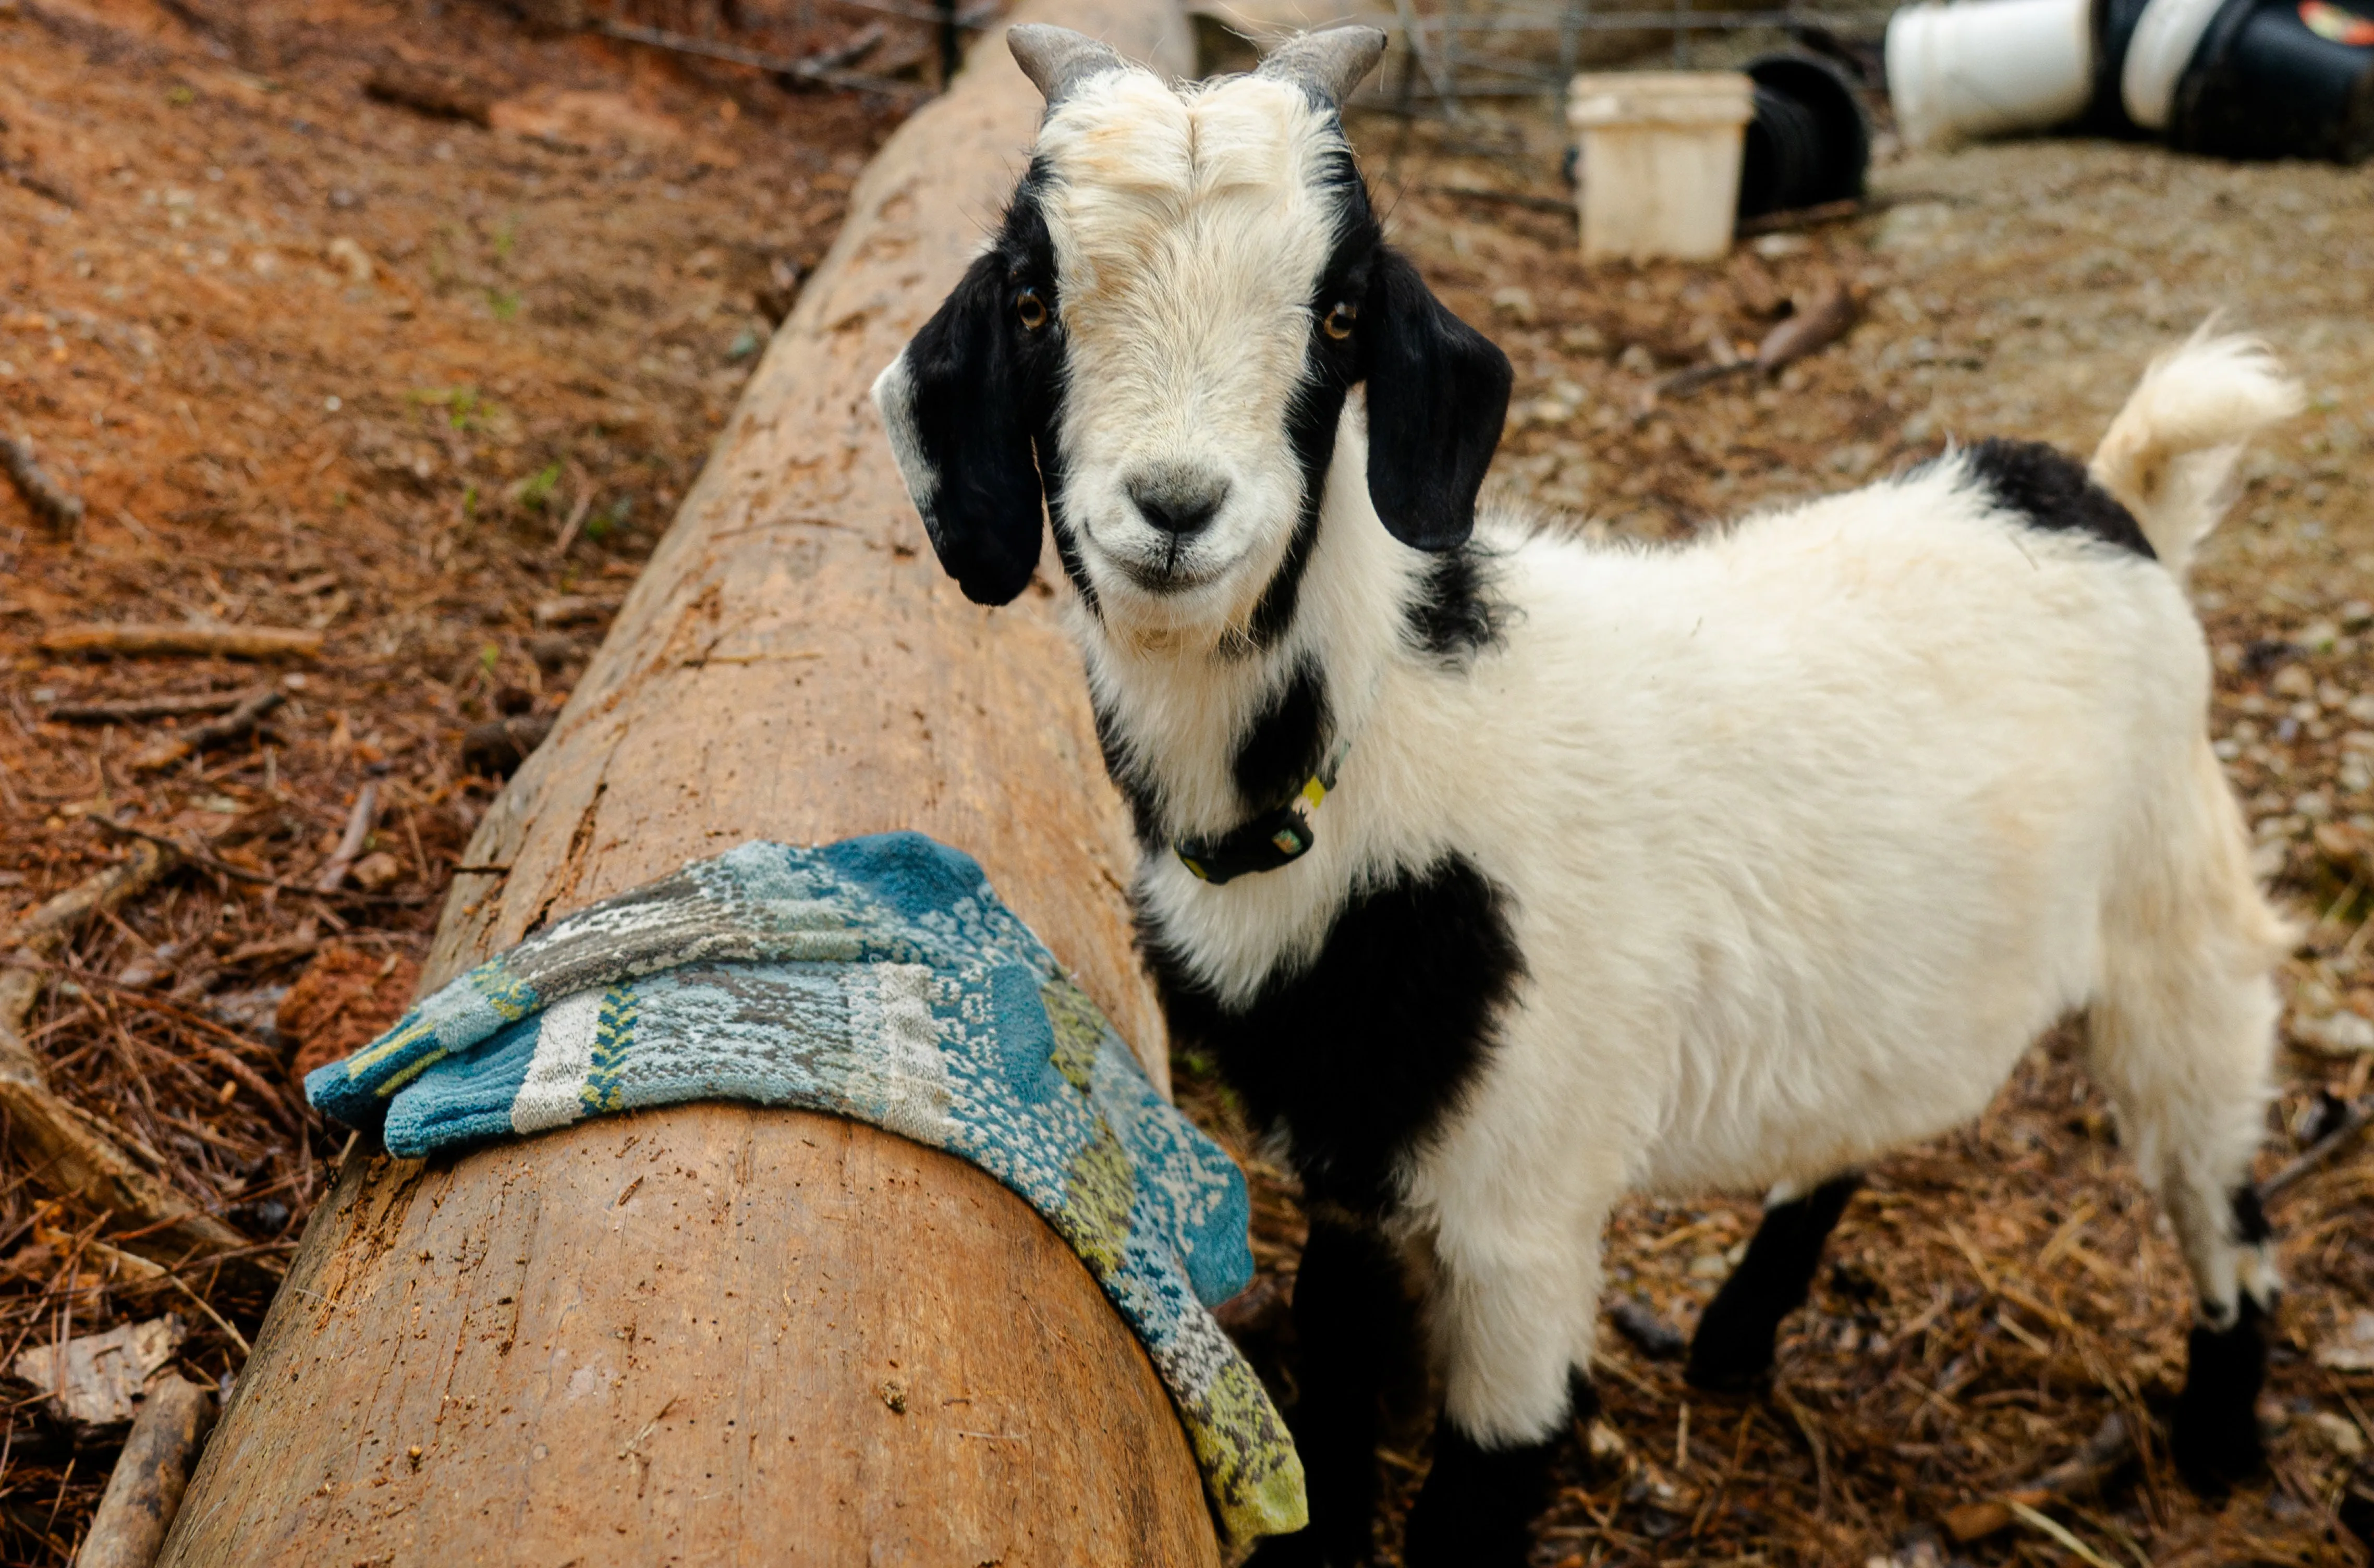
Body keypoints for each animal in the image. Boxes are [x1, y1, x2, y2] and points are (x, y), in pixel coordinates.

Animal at [873, 30, 2298, 1556]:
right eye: (1033, 298)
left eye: (1337, 314)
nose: (1177, 509)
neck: (1369, 748)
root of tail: (2110, 501)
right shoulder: (1349, 1156)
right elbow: (1332, 1397)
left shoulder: (1525, 1211)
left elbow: (1483, 1484)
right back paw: (1735, 1340)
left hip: (2176, 915)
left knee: (2222, 1177)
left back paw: (2220, 1439)